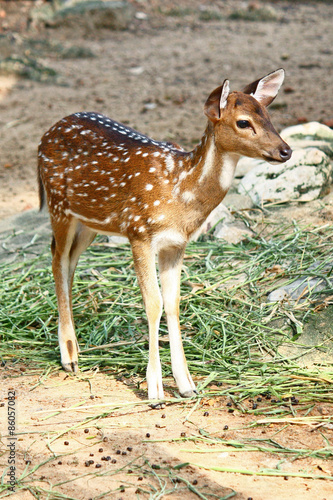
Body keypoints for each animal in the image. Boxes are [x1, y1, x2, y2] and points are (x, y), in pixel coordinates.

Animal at [37, 68, 290, 400]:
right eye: (244, 122)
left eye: (268, 115)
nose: (286, 150)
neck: (180, 193)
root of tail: (47, 134)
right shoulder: (139, 232)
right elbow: (153, 304)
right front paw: (155, 390)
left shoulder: (175, 244)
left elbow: (173, 304)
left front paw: (186, 384)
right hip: (58, 206)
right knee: (56, 259)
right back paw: (69, 355)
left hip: (90, 221)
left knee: (68, 262)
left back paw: (74, 345)